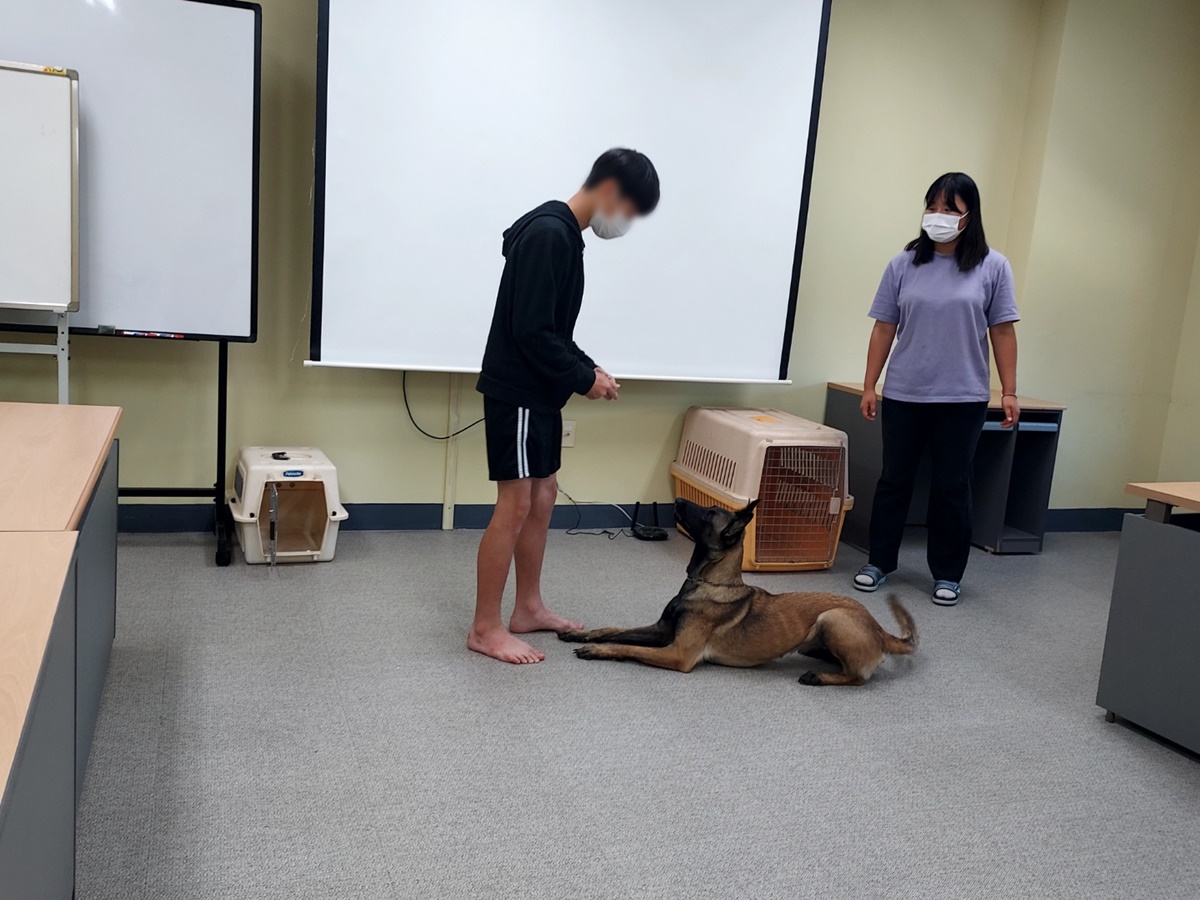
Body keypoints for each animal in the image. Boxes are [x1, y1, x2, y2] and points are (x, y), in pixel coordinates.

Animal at [559, 498, 917, 685]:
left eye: (708, 513)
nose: (677, 500)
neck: (708, 583)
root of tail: (880, 630)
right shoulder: (661, 631)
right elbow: (614, 629)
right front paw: (581, 634)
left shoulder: (678, 653)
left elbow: (627, 646)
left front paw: (598, 650)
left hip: (833, 617)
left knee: (858, 676)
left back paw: (820, 676)